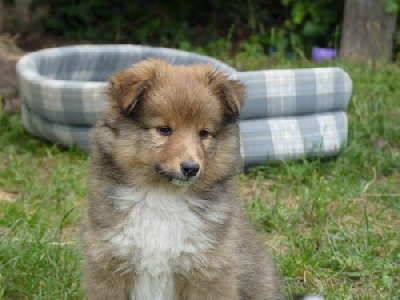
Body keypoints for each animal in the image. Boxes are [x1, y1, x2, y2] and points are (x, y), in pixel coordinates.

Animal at [82, 59, 284, 300]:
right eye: (164, 130)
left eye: (204, 133)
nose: (191, 168)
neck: (162, 197)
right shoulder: (109, 266)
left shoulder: (208, 274)